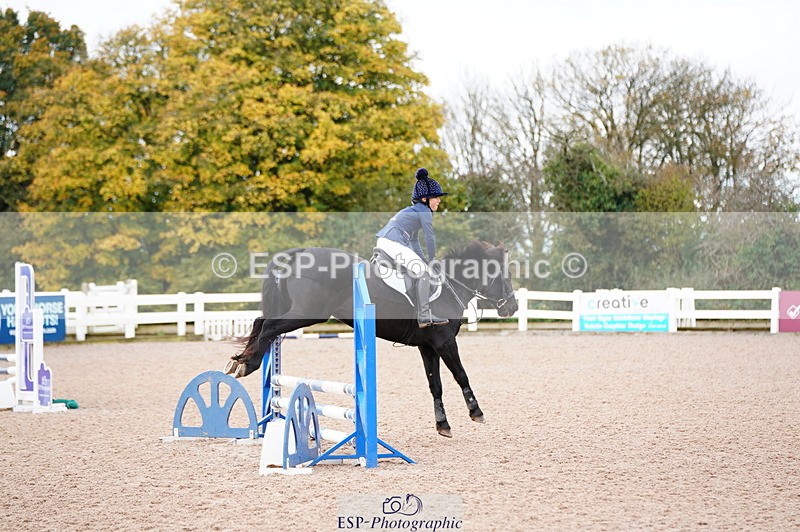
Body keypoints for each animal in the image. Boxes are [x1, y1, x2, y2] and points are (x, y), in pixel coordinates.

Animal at [224, 240, 518, 438]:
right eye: (505, 274)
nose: (512, 307)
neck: (449, 287)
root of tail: (301, 253)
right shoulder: (445, 343)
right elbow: (461, 376)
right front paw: (476, 412)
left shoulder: (428, 347)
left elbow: (435, 386)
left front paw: (442, 425)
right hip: (305, 313)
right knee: (268, 327)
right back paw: (247, 363)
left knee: (261, 323)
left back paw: (241, 362)